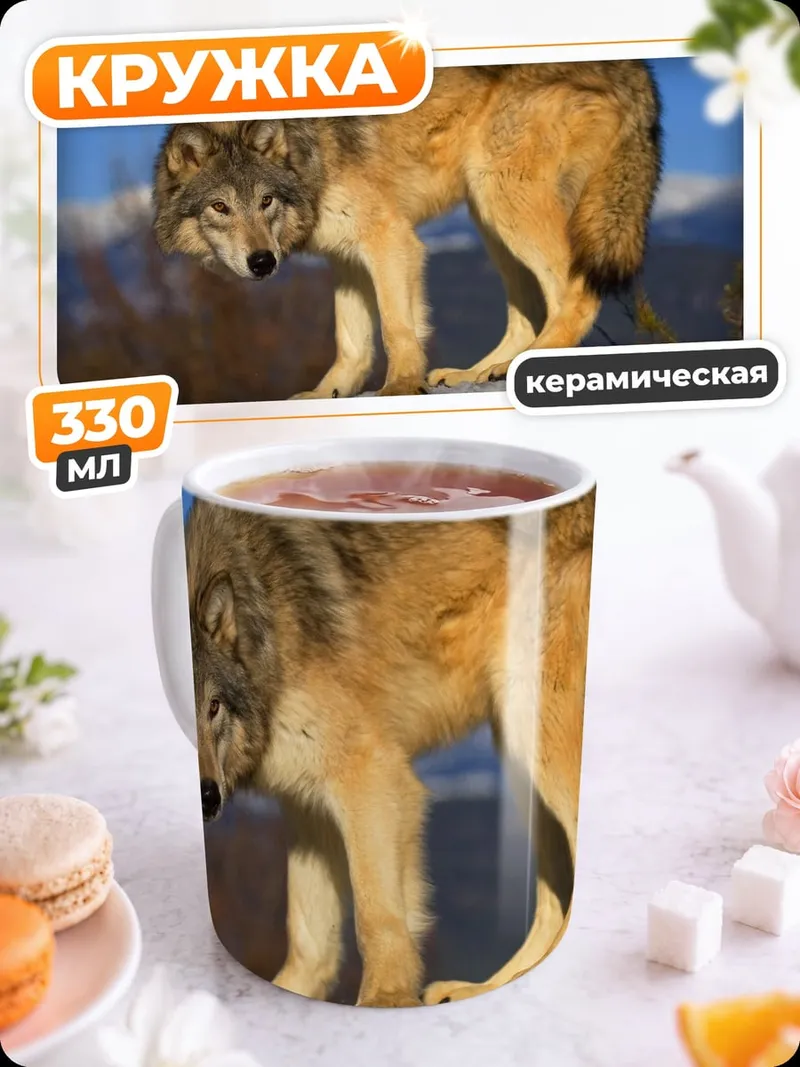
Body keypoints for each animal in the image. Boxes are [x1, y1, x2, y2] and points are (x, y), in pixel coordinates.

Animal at [153, 61, 662, 399]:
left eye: (266, 201)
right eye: (220, 207)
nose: (263, 262)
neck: (309, 155)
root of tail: (637, 69)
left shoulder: (390, 237)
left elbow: (397, 327)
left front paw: (399, 386)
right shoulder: (346, 256)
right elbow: (352, 343)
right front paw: (325, 395)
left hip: (502, 194)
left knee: (574, 292)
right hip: (487, 213)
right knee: (528, 312)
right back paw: (479, 371)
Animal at [186, 490, 595, 1007]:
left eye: (213, 706)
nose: (206, 797)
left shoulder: (371, 773)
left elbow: (375, 916)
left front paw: (384, 1000)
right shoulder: (305, 804)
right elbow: (310, 941)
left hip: (533, 731)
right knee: (553, 900)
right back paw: (479, 989)